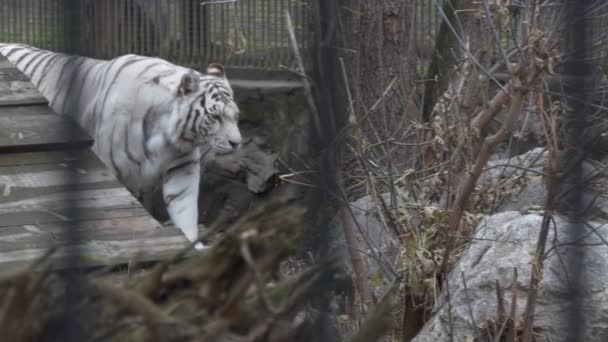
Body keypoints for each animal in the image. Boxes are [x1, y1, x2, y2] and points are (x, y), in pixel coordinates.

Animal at [0, 44, 242, 250]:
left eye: (235, 116)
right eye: (216, 117)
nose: (237, 143)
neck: (171, 138)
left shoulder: (182, 167)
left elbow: (185, 210)